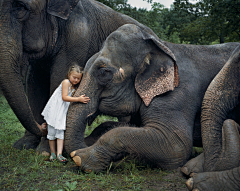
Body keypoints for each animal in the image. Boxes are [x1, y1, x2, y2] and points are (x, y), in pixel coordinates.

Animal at [0, 0, 151, 153]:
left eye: (21, 7)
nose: (42, 127)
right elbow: (34, 85)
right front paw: (23, 146)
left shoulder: (78, 39)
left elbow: (58, 80)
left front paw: (44, 152)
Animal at [65, 23, 240, 172]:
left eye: (103, 72)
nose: (75, 151)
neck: (161, 45)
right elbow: (118, 126)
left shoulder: (176, 95)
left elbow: (176, 145)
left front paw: (80, 157)